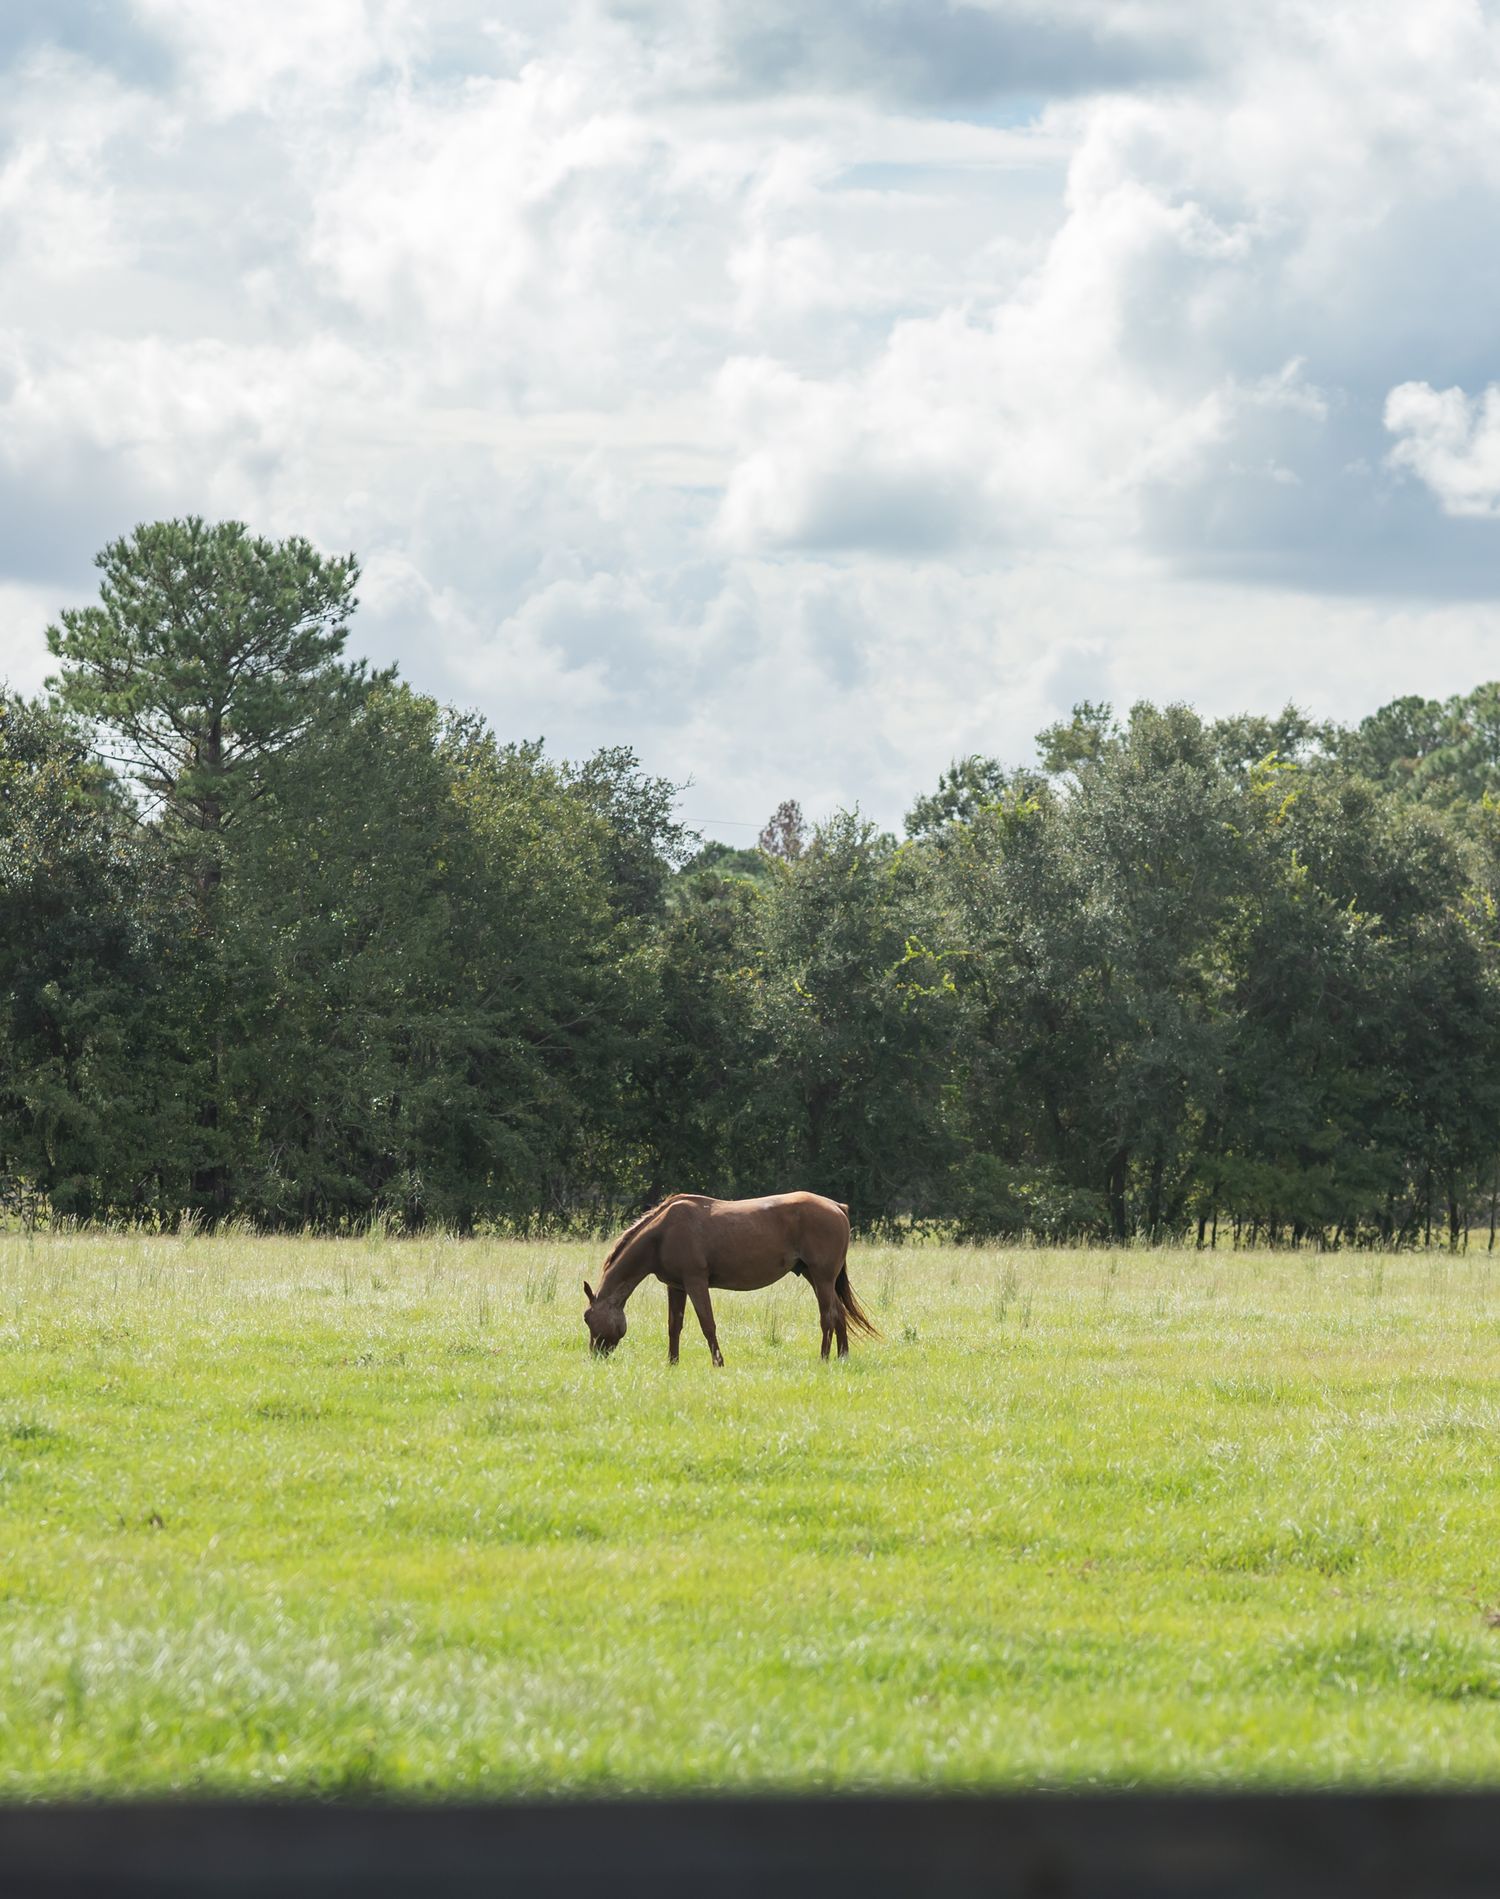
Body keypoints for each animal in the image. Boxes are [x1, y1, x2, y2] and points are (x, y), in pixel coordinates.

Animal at [582, 1192, 878, 1364]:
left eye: (587, 1318)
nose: (596, 1356)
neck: (662, 1233)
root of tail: (837, 1206)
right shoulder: (676, 1287)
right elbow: (674, 1326)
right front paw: (672, 1363)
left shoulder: (696, 1282)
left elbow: (708, 1325)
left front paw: (718, 1362)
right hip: (814, 1276)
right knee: (838, 1313)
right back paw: (842, 1357)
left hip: (822, 1277)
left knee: (828, 1316)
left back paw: (824, 1358)